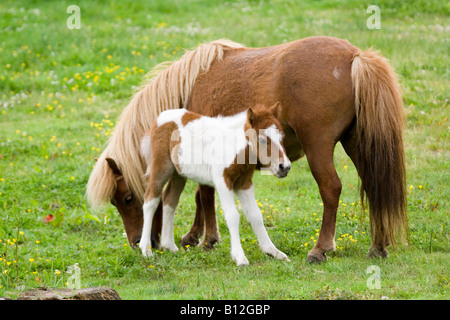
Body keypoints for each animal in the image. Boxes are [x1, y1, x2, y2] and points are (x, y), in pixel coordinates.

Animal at [140, 104, 292, 266]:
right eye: (262, 140)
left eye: (282, 136)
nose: (285, 167)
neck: (234, 147)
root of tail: (159, 118)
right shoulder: (222, 181)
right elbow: (232, 215)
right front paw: (239, 257)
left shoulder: (244, 183)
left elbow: (256, 214)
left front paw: (273, 251)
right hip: (162, 168)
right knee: (150, 200)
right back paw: (146, 249)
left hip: (178, 173)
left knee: (170, 199)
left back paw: (169, 246)